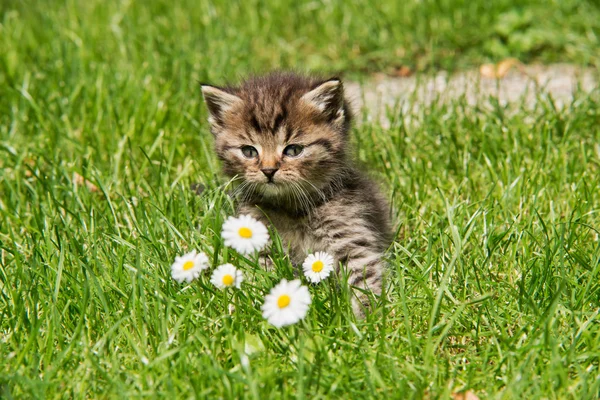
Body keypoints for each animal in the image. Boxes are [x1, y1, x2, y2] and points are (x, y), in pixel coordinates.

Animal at [199, 72, 392, 316]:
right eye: (249, 151)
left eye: (293, 150)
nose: (268, 170)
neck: (291, 207)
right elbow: (262, 276)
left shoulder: (350, 235)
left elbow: (365, 275)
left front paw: (368, 316)